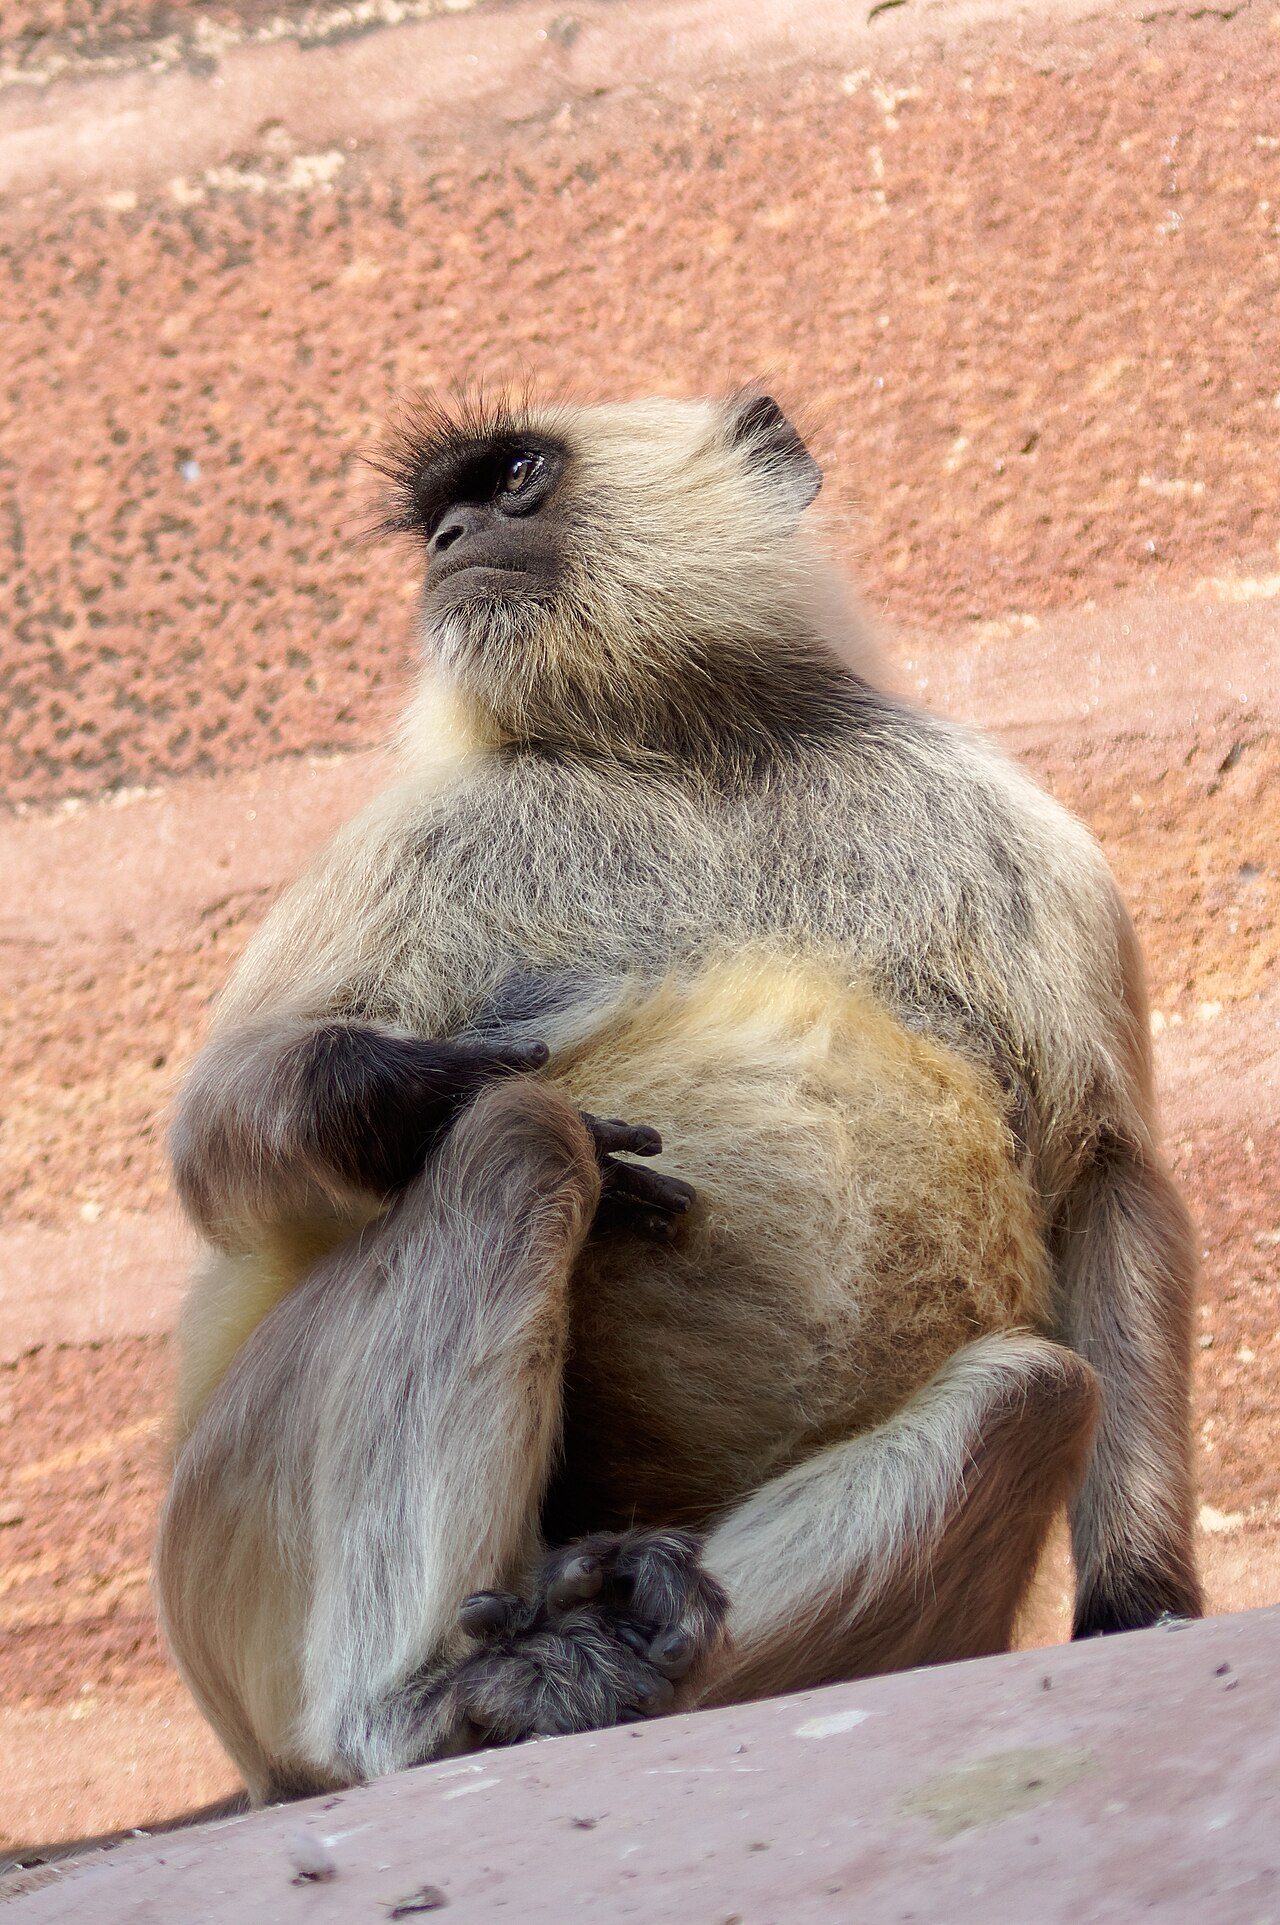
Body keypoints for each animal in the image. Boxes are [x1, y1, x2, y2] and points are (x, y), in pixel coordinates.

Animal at [155, 387, 1198, 1802]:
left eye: (515, 477)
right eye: (439, 514)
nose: (451, 540)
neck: (682, 747)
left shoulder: (1004, 819)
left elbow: (1100, 1176)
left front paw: (1139, 1602)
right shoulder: (424, 829)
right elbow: (215, 1144)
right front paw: (420, 1086)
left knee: (1034, 1394)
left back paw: (595, 1641)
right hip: (225, 1553)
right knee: (518, 1142)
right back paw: (425, 1704)